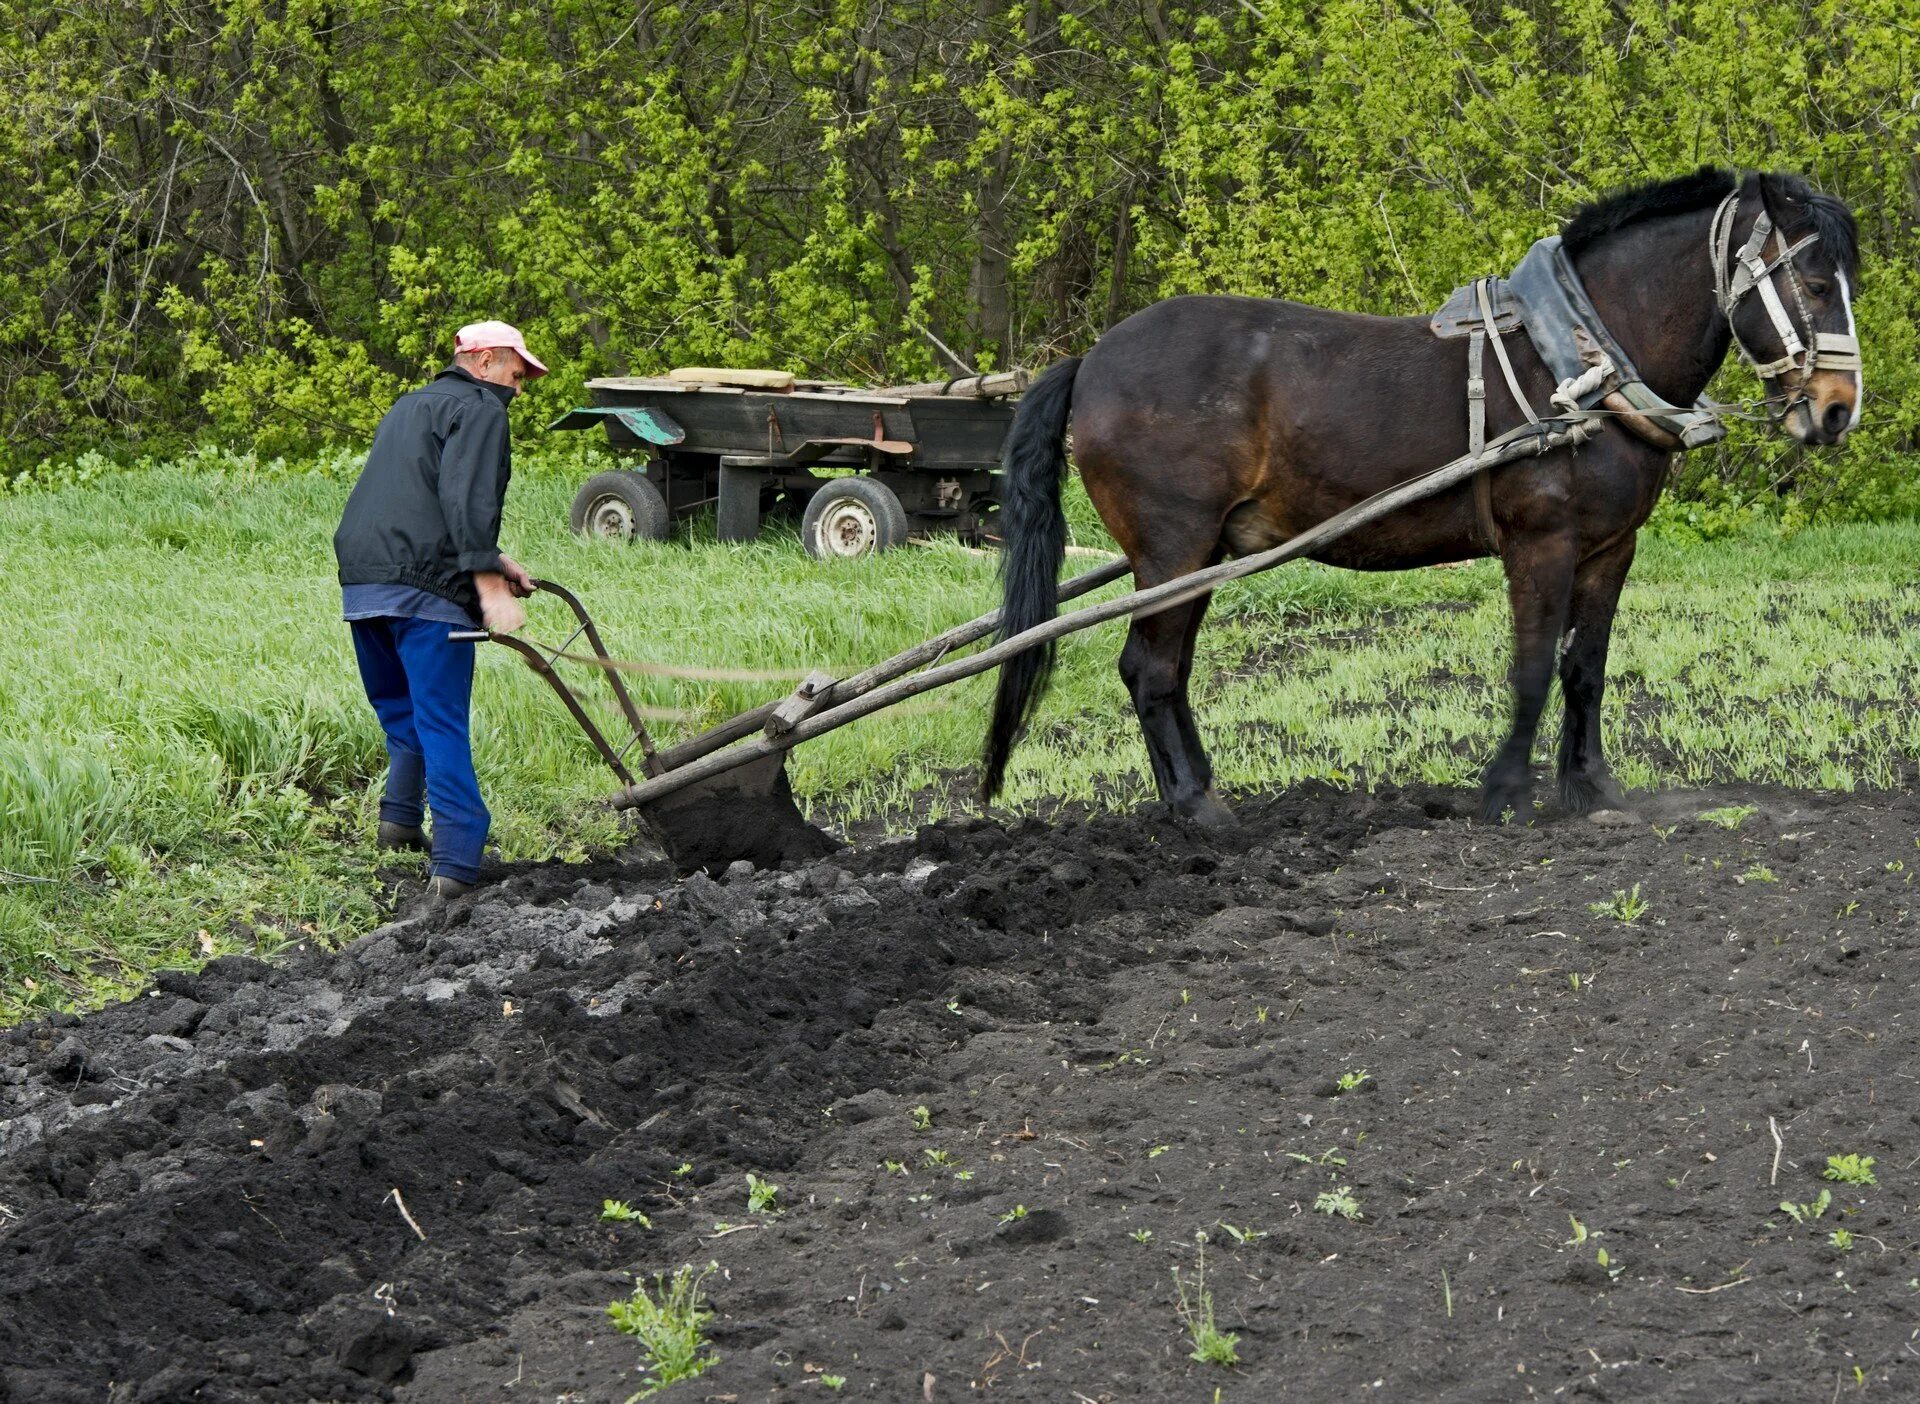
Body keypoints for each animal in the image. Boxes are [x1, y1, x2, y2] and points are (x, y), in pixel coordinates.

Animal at [983, 167, 1850, 822]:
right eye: (1813, 282)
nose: (1839, 408)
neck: (1580, 367)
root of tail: (1091, 361)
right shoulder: (1541, 542)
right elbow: (1532, 666)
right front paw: (1505, 793)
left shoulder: (1611, 547)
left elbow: (1585, 667)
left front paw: (1592, 789)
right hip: (1172, 549)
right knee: (1151, 670)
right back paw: (1199, 812)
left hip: (1199, 558)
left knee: (1168, 670)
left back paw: (1199, 791)